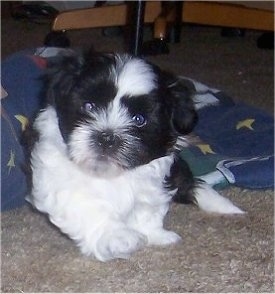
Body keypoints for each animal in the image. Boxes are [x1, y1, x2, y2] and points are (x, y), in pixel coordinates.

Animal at [25, 51, 244, 262]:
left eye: (139, 119)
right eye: (89, 106)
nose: (107, 137)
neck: (109, 174)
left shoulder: (154, 183)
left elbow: (147, 208)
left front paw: (154, 234)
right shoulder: (58, 180)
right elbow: (89, 206)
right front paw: (116, 237)